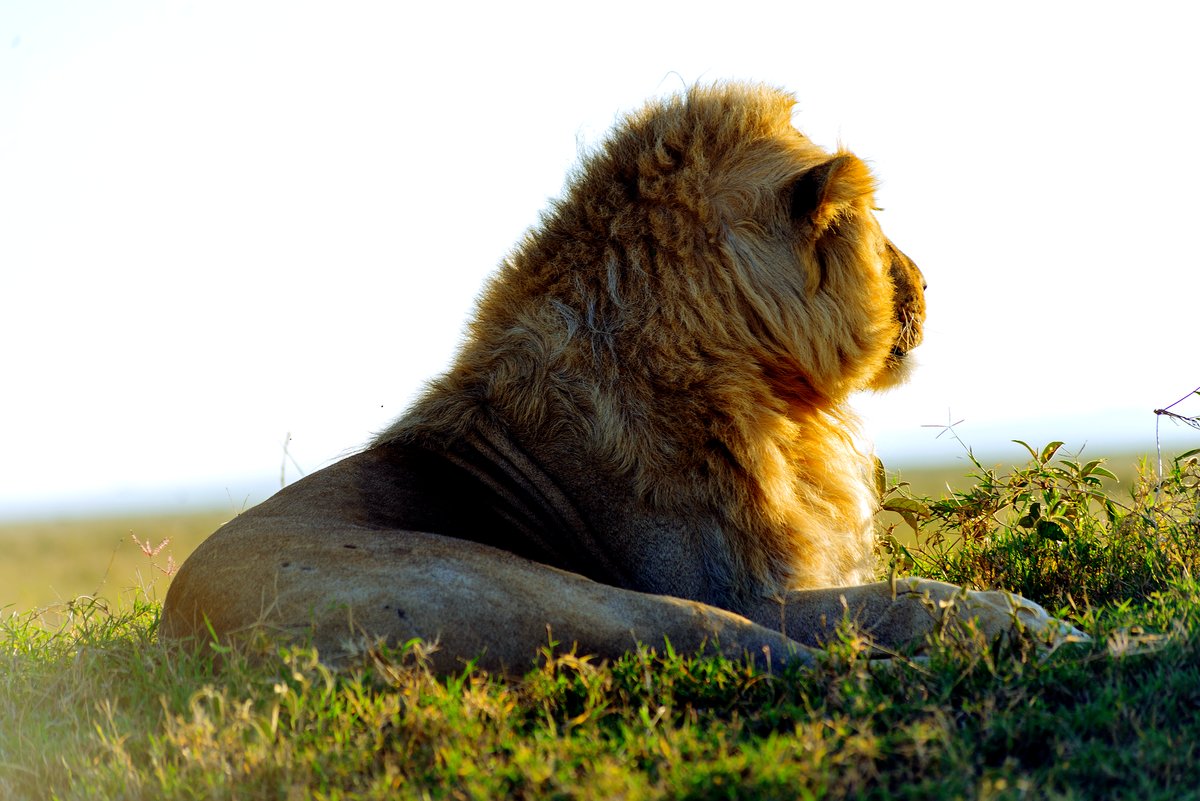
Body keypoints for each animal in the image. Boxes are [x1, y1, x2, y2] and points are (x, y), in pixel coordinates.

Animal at [161, 83, 1072, 674]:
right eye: (874, 225)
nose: (928, 281)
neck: (775, 397)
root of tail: (190, 639)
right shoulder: (744, 586)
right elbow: (897, 593)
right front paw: (1012, 613)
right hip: (564, 595)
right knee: (795, 659)